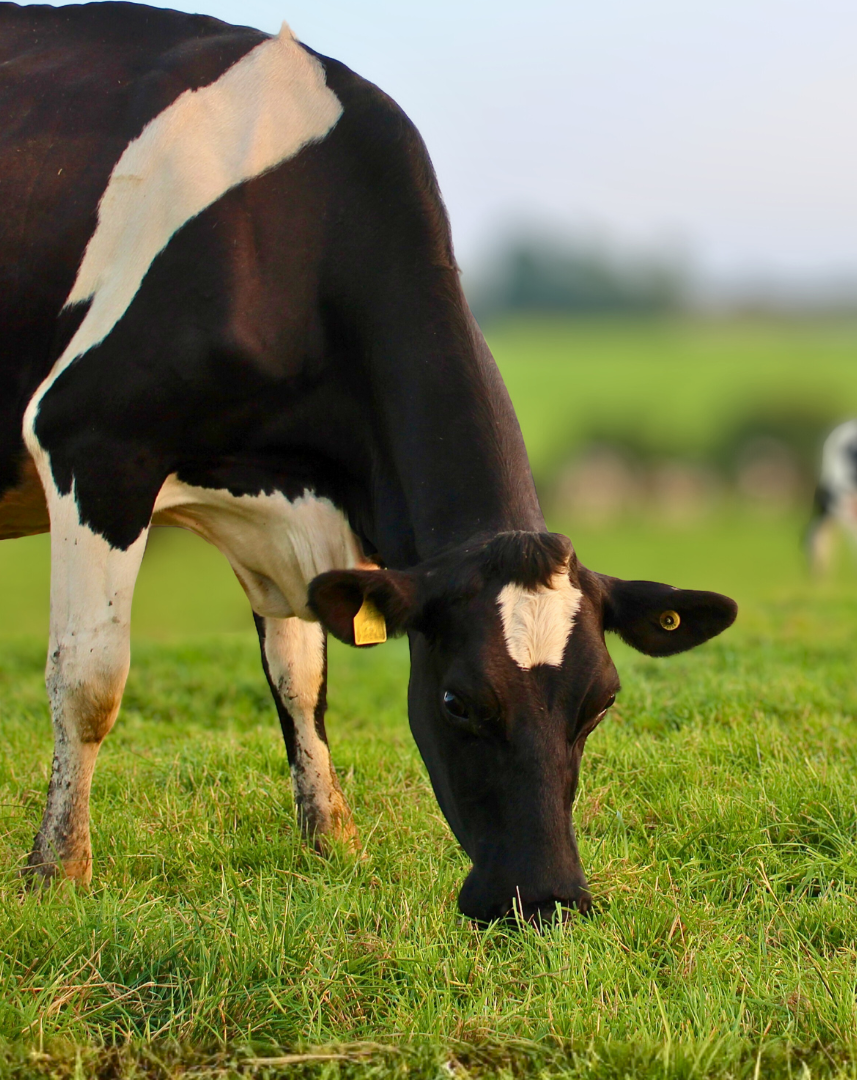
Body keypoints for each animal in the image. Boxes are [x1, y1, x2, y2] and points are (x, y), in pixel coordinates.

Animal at [0, 1, 737, 924]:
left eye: (600, 702)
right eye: (457, 700)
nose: (546, 899)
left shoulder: (280, 504)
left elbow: (300, 675)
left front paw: (331, 839)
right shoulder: (93, 442)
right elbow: (89, 679)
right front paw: (57, 868)